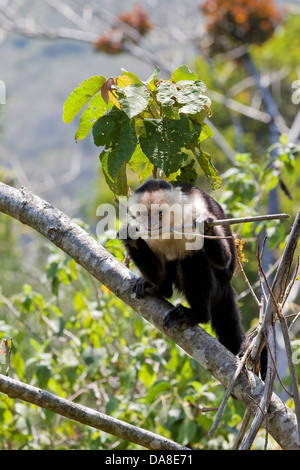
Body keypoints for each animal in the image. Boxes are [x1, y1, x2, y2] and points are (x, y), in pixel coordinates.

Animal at [118, 180, 247, 356]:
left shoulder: (194, 207)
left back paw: (196, 314)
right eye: (145, 214)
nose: (151, 224)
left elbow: (223, 259)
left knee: (193, 260)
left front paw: (206, 227)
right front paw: (130, 237)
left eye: (159, 213)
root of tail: (226, 287)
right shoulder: (148, 235)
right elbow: (158, 273)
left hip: (219, 284)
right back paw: (159, 288)